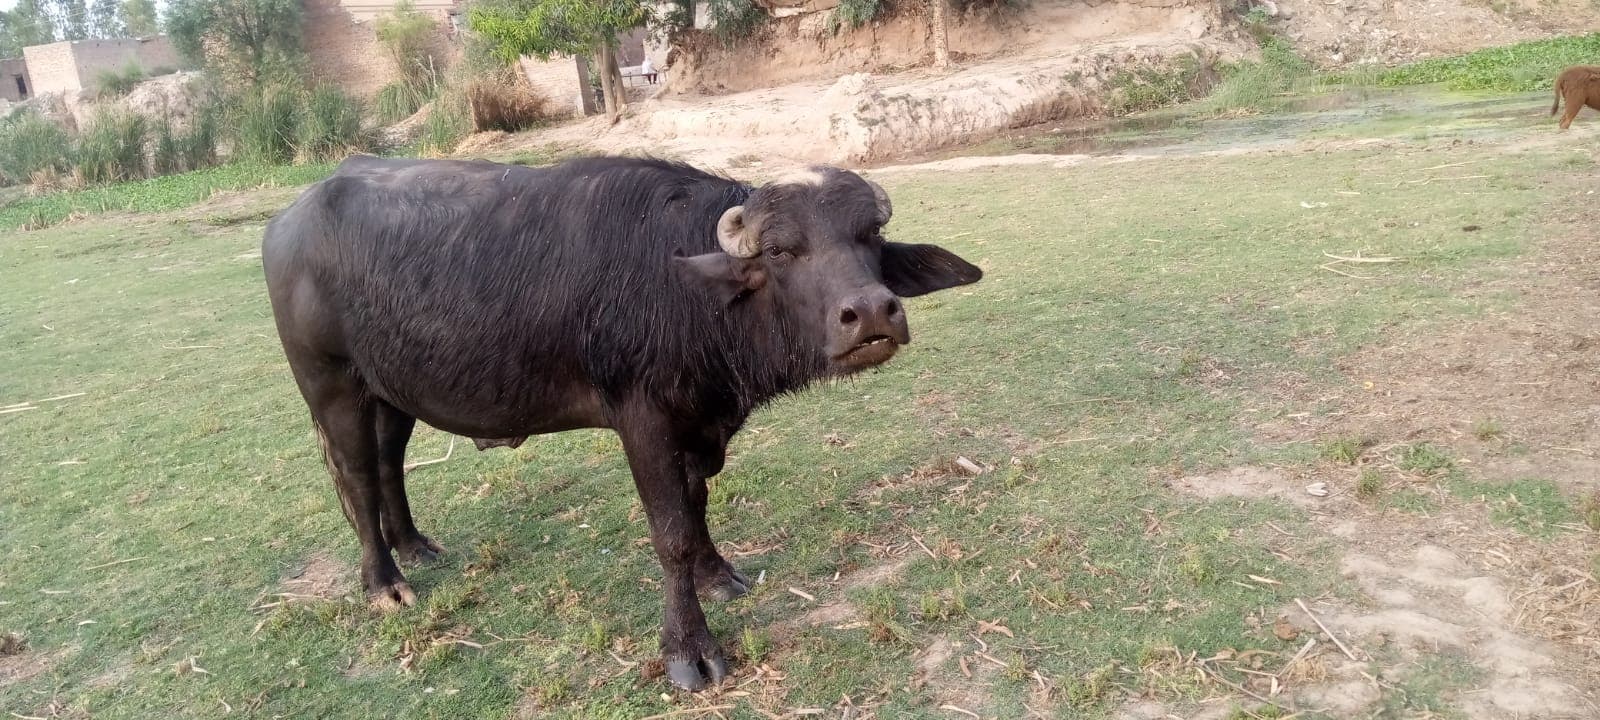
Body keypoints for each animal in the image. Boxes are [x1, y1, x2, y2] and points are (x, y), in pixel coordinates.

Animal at [261, 155, 982, 690]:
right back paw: (385, 584)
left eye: (870, 239)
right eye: (781, 251)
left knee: (388, 462)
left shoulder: (699, 423)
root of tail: (287, 222)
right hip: (332, 383)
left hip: (391, 391)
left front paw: (718, 575)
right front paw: (690, 651)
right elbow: (671, 534)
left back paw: (414, 546)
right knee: (356, 475)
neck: (691, 294)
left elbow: (696, 506)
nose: (873, 313)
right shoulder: (645, 421)